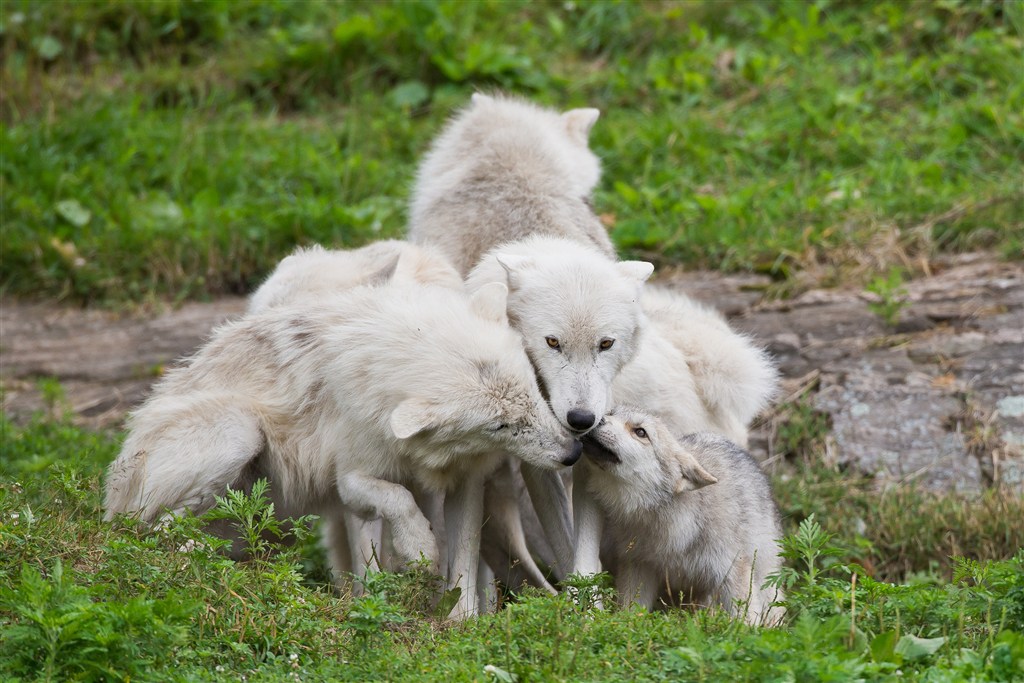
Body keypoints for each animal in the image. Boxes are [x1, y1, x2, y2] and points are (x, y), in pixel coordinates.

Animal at [105, 274, 585, 618]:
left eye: (532, 391)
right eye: (502, 424)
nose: (572, 454)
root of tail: (111, 487)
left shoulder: (466, 483)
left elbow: (463, 565)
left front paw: (461, 624)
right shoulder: (351, 480)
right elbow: (397, 499)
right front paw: (419, 550)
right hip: (238, 432)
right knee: (153, 533)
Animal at [585, 409, 782, 626]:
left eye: (640, 432)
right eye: (612, 413)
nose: (597, 419)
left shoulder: (732, 571)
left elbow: (745, 620)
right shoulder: (639, 566)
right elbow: (631, 611)